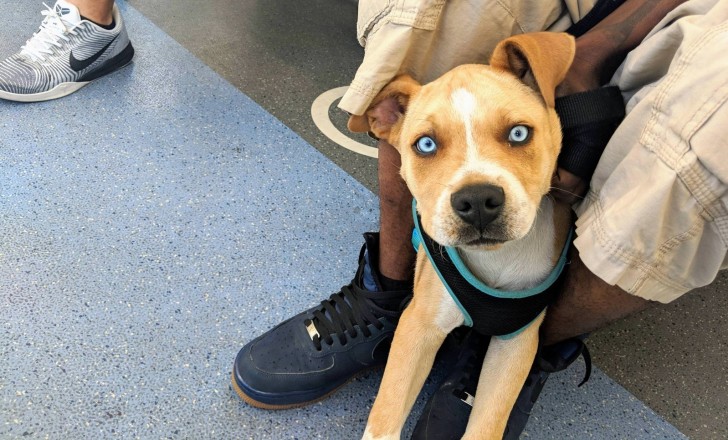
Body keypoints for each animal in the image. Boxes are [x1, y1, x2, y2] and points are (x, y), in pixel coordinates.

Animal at [350, 31, 576, 440]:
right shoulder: (419, 325)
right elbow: (384, 420)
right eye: (426, 145)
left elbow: (486, 425)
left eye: (519, 133)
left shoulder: (516, 344)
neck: (497, 259)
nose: (477, 200)